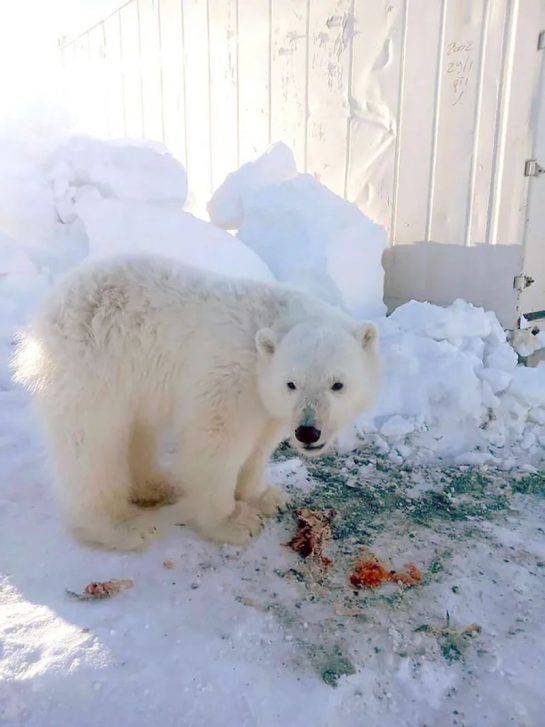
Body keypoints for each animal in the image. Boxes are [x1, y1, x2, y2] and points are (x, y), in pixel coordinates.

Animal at [12, 256, 378, 552]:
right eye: (292, 383)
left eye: (337, 384)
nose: (307, 432)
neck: (274, 322)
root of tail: (45, 310)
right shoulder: (230, 380)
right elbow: (216, 445)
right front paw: (234, 522)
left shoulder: (267, 401)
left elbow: (261, 444)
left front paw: (266, 496)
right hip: (94, 365)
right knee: (92, 444)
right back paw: (120, 527)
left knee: (137, 429)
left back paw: (157, 485)